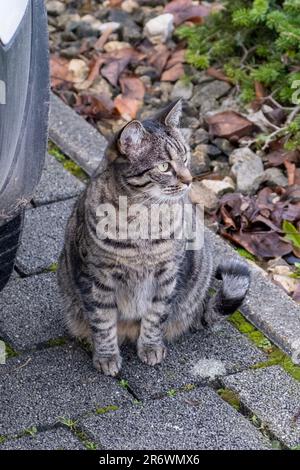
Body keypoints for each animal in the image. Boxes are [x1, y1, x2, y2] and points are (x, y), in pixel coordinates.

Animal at [57, 101, 250, 376]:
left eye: (185, 158)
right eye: (164, 167)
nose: (189, 180)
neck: (142, 216)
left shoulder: (167, 275)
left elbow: (155, 315)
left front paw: (150, 346)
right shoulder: (96, 277)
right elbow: (103, 322)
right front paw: (106, 356)